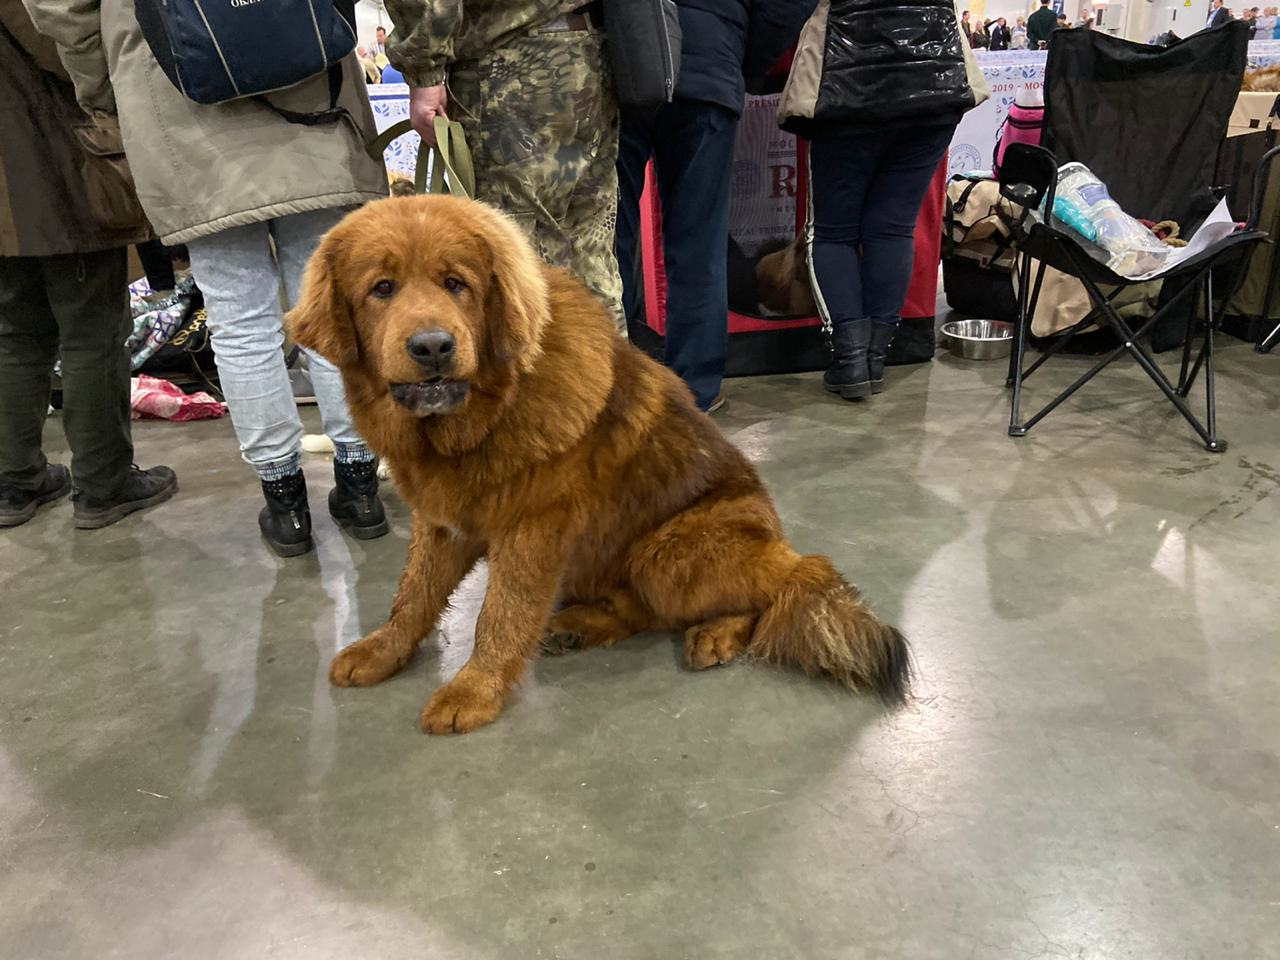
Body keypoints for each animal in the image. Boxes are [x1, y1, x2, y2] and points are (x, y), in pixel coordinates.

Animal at [290, 195, 911, 737]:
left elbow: (500, 614)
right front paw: (384, 649)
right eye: (382, 289)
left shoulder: (532, 529)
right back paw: (578, 627)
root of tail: (780, 542)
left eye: (456, 284)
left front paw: (474, 690)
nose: (433, 347)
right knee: (641, 610)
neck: (481, 422)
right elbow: (413, 594)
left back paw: (715, 633)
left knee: (770, 592)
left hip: (668, 552)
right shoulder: (443, 522)